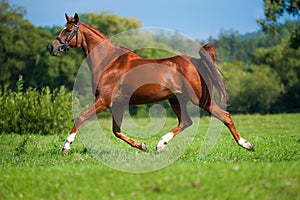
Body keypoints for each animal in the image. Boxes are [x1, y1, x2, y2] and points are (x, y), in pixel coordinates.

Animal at [48, 13, 254, 154]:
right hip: (176, 99)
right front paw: (142, 145)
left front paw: (66, 146)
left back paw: (246, 145)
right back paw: (160, 144)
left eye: (68, 30)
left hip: (200, 100)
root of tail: (196, 62)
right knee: (186, 121)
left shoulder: (104, 100)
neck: (109, 62)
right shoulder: (117, 103)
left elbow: (80, 118)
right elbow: (116, 131)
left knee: (225, 116)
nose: (52, 47)